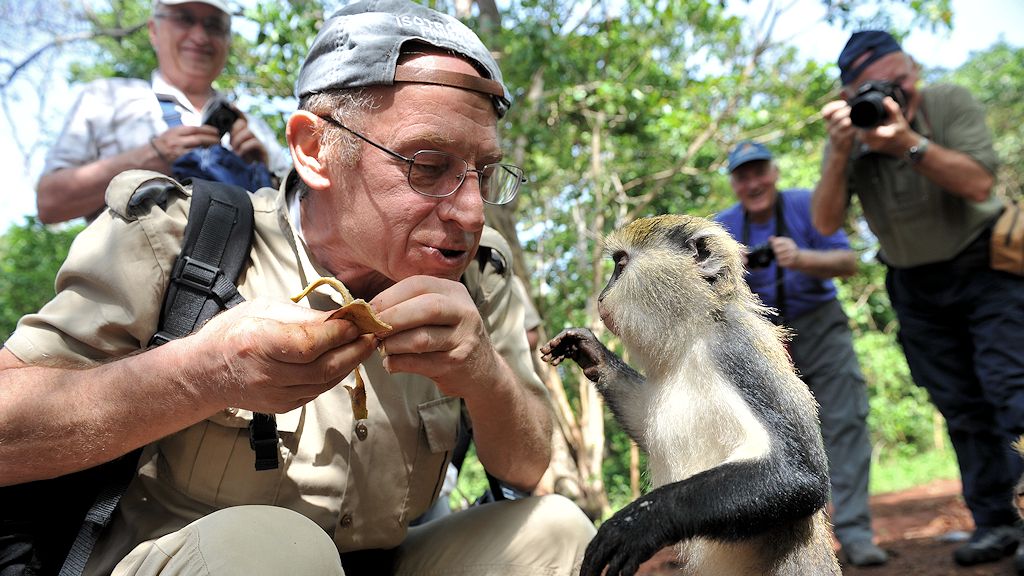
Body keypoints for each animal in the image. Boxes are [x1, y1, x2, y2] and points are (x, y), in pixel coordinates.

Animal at [541, 214, 841, 576]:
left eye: (620, 264)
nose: (601, 295)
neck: (696, 331)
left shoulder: (736, 354)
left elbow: (801, 475)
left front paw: (642, 522)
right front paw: (591, 353)